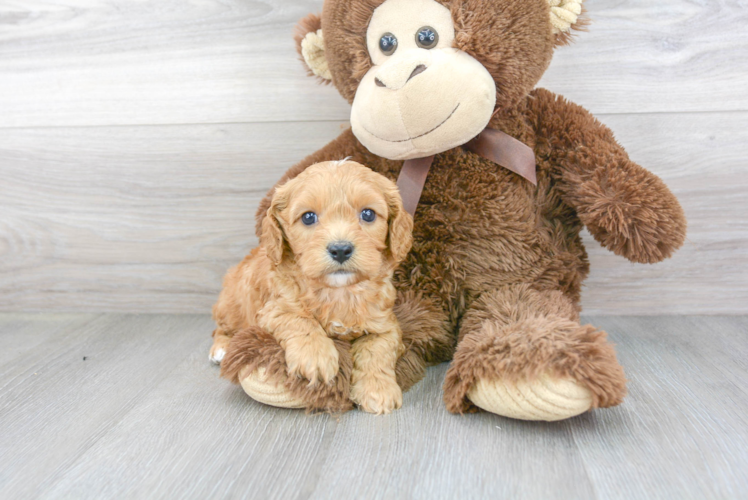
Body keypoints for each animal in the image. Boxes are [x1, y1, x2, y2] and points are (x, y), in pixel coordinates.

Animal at [207, 161, 412, 414]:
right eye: (308, 217)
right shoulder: (274, 308)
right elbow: (299, 319)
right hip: (231, 305)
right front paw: (315, 357)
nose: (340, 249)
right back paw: (221, 348)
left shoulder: (386, 323)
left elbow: (378, 349)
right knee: (220, 328)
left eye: (368, 214)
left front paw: (378, 389)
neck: (339, 291)